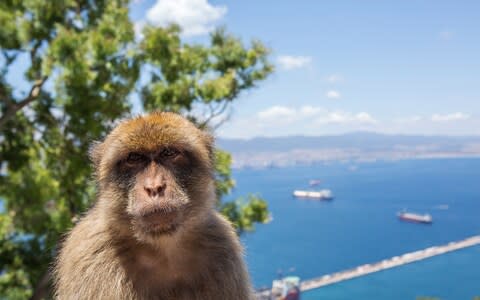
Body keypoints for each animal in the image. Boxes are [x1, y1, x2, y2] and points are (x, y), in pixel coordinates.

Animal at [53, 112, 255, 300]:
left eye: (169, 153)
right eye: (134, 158)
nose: (154, 187)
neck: (162, 249)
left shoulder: (222, 248)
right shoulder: (93, 253)